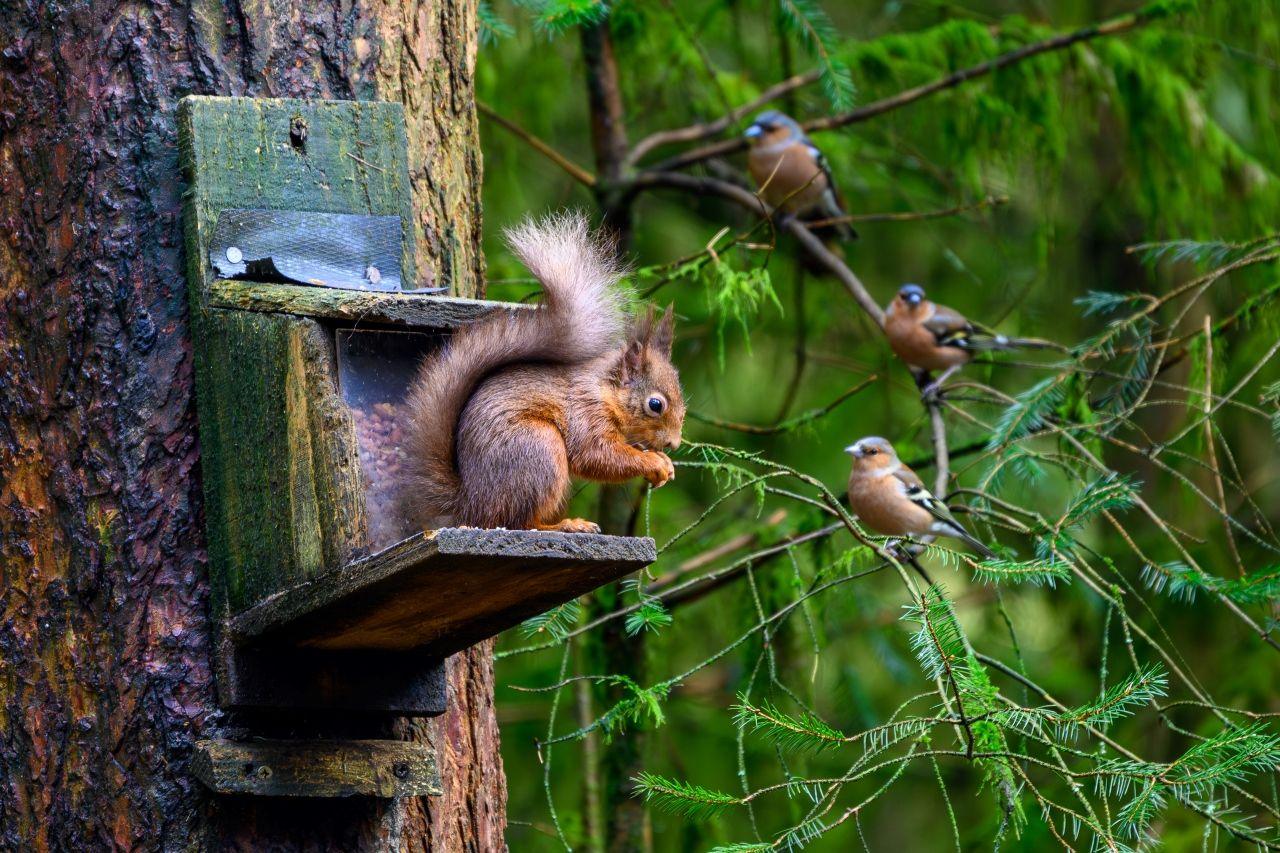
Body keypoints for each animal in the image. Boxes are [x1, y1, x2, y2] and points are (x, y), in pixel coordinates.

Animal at [399, 212, 686, 532]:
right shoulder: (586, 413)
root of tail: (472, 503)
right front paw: (654, 462)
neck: (604, 389)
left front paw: (663, 464)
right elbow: (597, 456)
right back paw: (566, 525)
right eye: (655, 404)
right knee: (521, 522)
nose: (673, 444)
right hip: (539, 449)